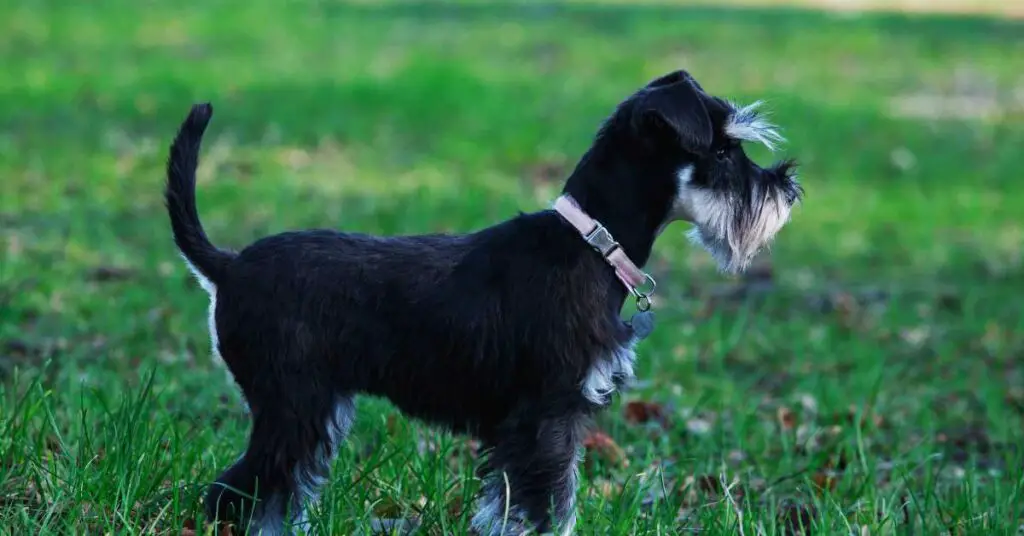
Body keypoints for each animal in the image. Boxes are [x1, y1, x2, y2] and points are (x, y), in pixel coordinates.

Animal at [163, 69, 798, 532]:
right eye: (723, 155)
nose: (789, 190)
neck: (590, 245)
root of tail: (229, 265)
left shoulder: (537, 426)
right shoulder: (549, 418)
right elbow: (548, 507)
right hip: (296, 406)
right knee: (241, 490)